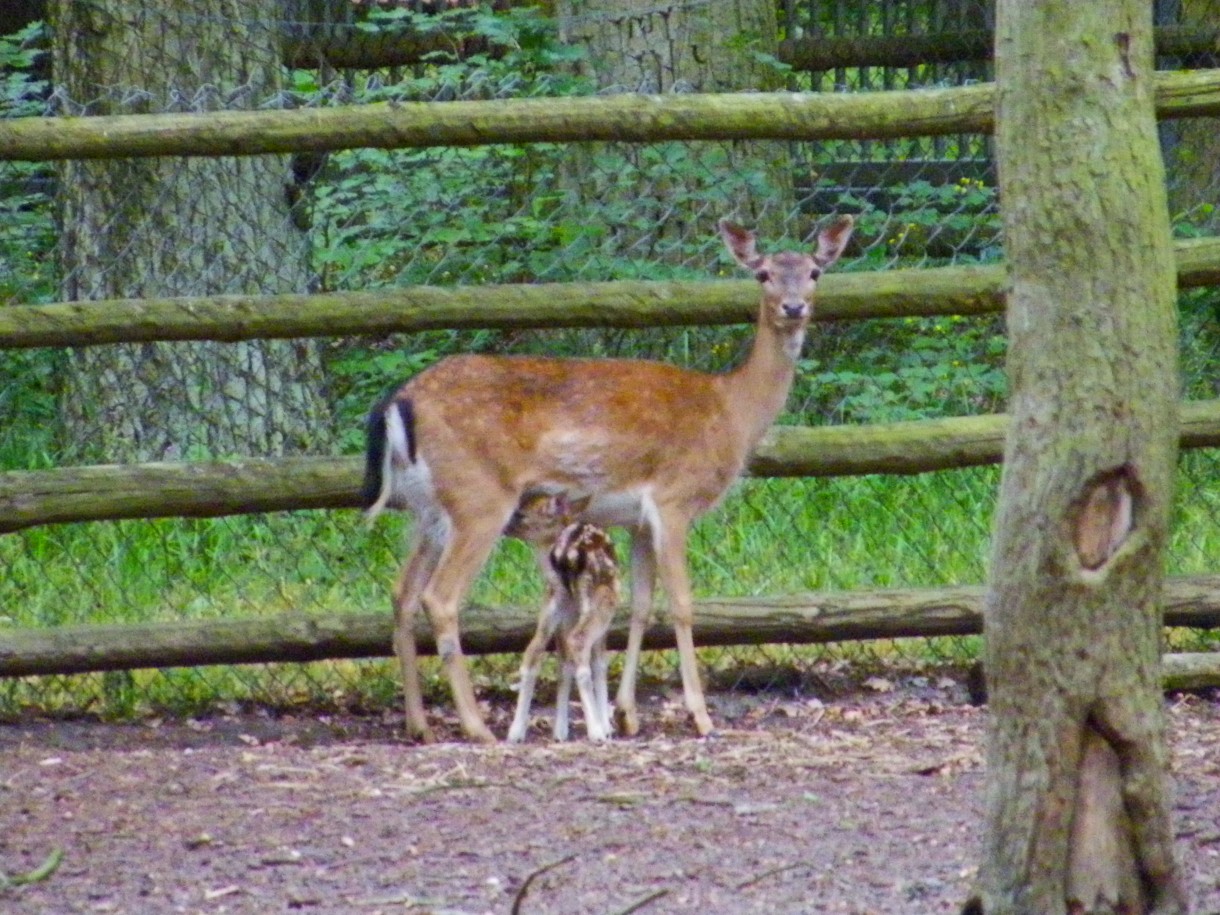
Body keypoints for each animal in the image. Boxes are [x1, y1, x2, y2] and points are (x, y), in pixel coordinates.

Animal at [366, 214, 854, 746]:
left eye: (815, 272)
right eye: (763, 273)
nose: (794, 306)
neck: (732, 411)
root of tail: (400, 402)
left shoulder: (638, 519)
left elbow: (641, 605)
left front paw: (625, 713)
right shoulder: (675, 499)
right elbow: (682, 603)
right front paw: (699, 715)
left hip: (428, 508)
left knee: (401, 593)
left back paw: (419, 725)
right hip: (478, 498)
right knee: (440, 597)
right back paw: (478, 728)